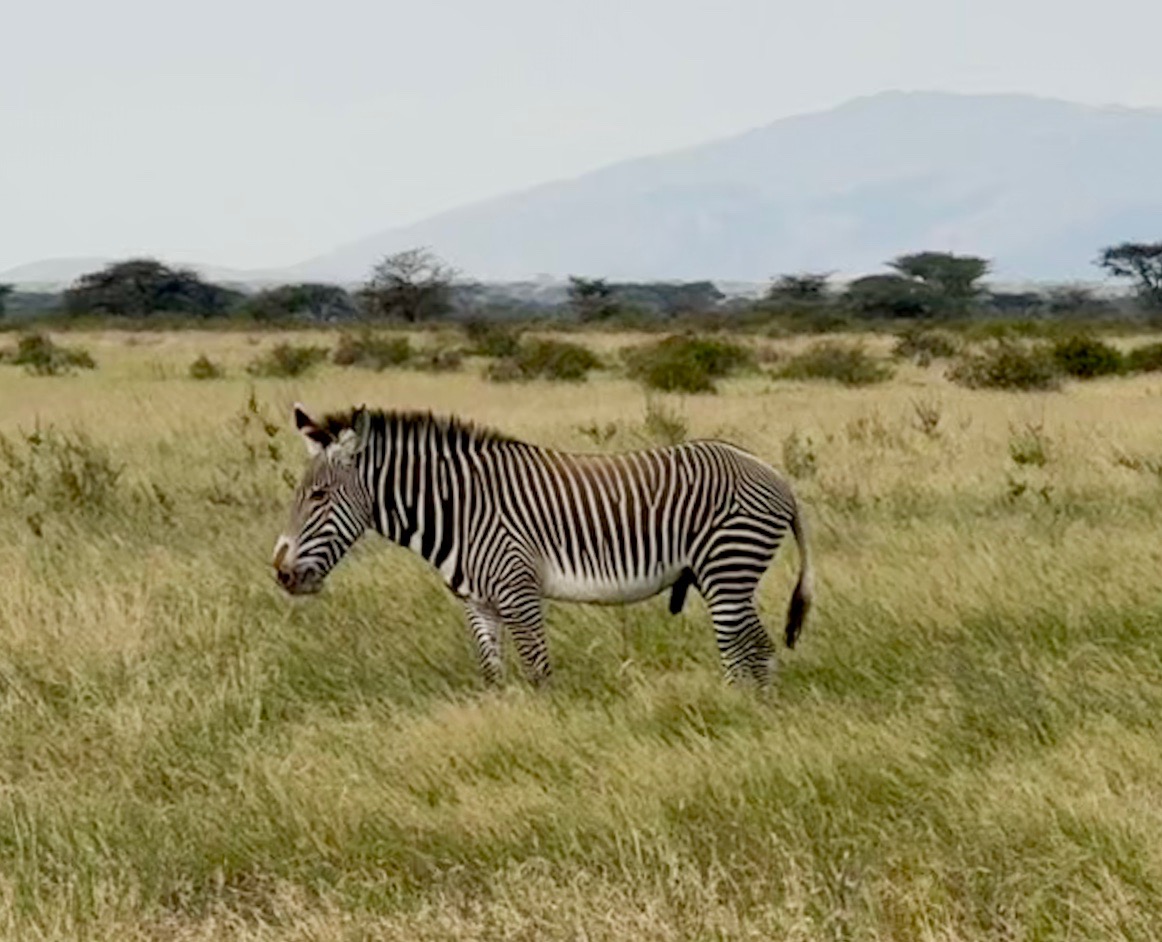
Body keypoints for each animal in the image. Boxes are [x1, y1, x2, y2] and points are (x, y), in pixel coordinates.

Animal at [272, 404, 813, 687]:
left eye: (319, 496)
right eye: (298, 494)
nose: (281, 573)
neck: (460, 508)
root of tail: (776, 475)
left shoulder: (519, 590)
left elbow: (537, 671)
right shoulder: (479, 602)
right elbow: (493, 673)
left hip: (728, 570)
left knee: (748, 652)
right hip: (723, 576)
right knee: (755, 649)